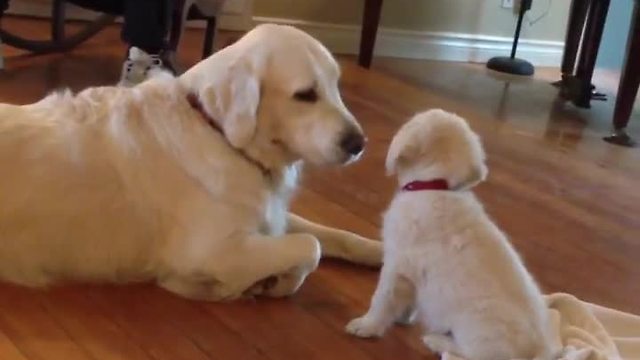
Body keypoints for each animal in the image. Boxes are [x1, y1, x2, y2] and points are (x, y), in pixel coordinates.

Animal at [0, 23, 382, 300]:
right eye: (305, 95)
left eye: (336, 85)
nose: (359, 144)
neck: (216, 132)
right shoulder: (211, 251)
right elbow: (309, 247)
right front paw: (269, 283)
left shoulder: (266, 216)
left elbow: (331, 235)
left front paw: (380, 251)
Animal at [342, 109, 556, 360]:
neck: (434, 185)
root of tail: (540, 351)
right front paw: (405, 317)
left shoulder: (397, 264)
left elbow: (382, 299)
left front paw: (366, 326)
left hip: (475, 329)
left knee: (470, 355)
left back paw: (436, 341)